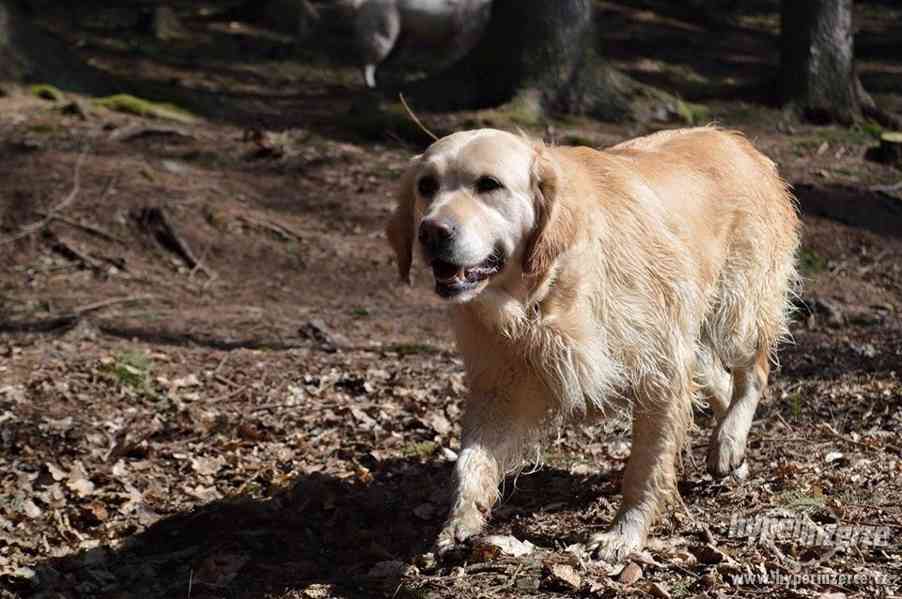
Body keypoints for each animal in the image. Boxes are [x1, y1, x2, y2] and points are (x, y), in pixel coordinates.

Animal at [384, 126, 800, 564]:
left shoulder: (660, 370)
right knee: (719, 381)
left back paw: (730, 439)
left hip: (738, 311)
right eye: (426, 186)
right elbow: (469, 461)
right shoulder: (501, 383)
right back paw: (729, 453)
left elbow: (645, 466)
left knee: (754, 372)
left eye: (489, 184)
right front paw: (461, 520)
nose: (431, 231)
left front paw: (624, 534)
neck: (544, 291)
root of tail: (736, 140)